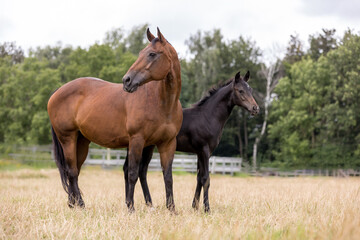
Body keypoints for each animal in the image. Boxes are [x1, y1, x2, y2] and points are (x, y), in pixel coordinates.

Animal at [47, 28, 183, 212]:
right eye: (141, 53)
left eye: (152, 54)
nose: (127, 80)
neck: (163, 103)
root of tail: (56, 92)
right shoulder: (137, 140)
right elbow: (132, 173)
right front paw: (131, 208)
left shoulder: (167, 143)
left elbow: (168, 176)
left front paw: (171, 209)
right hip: (67, 139)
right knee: (72, 171)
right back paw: (81, 205)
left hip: (81, 142)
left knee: (73, 171)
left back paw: (73, 203)